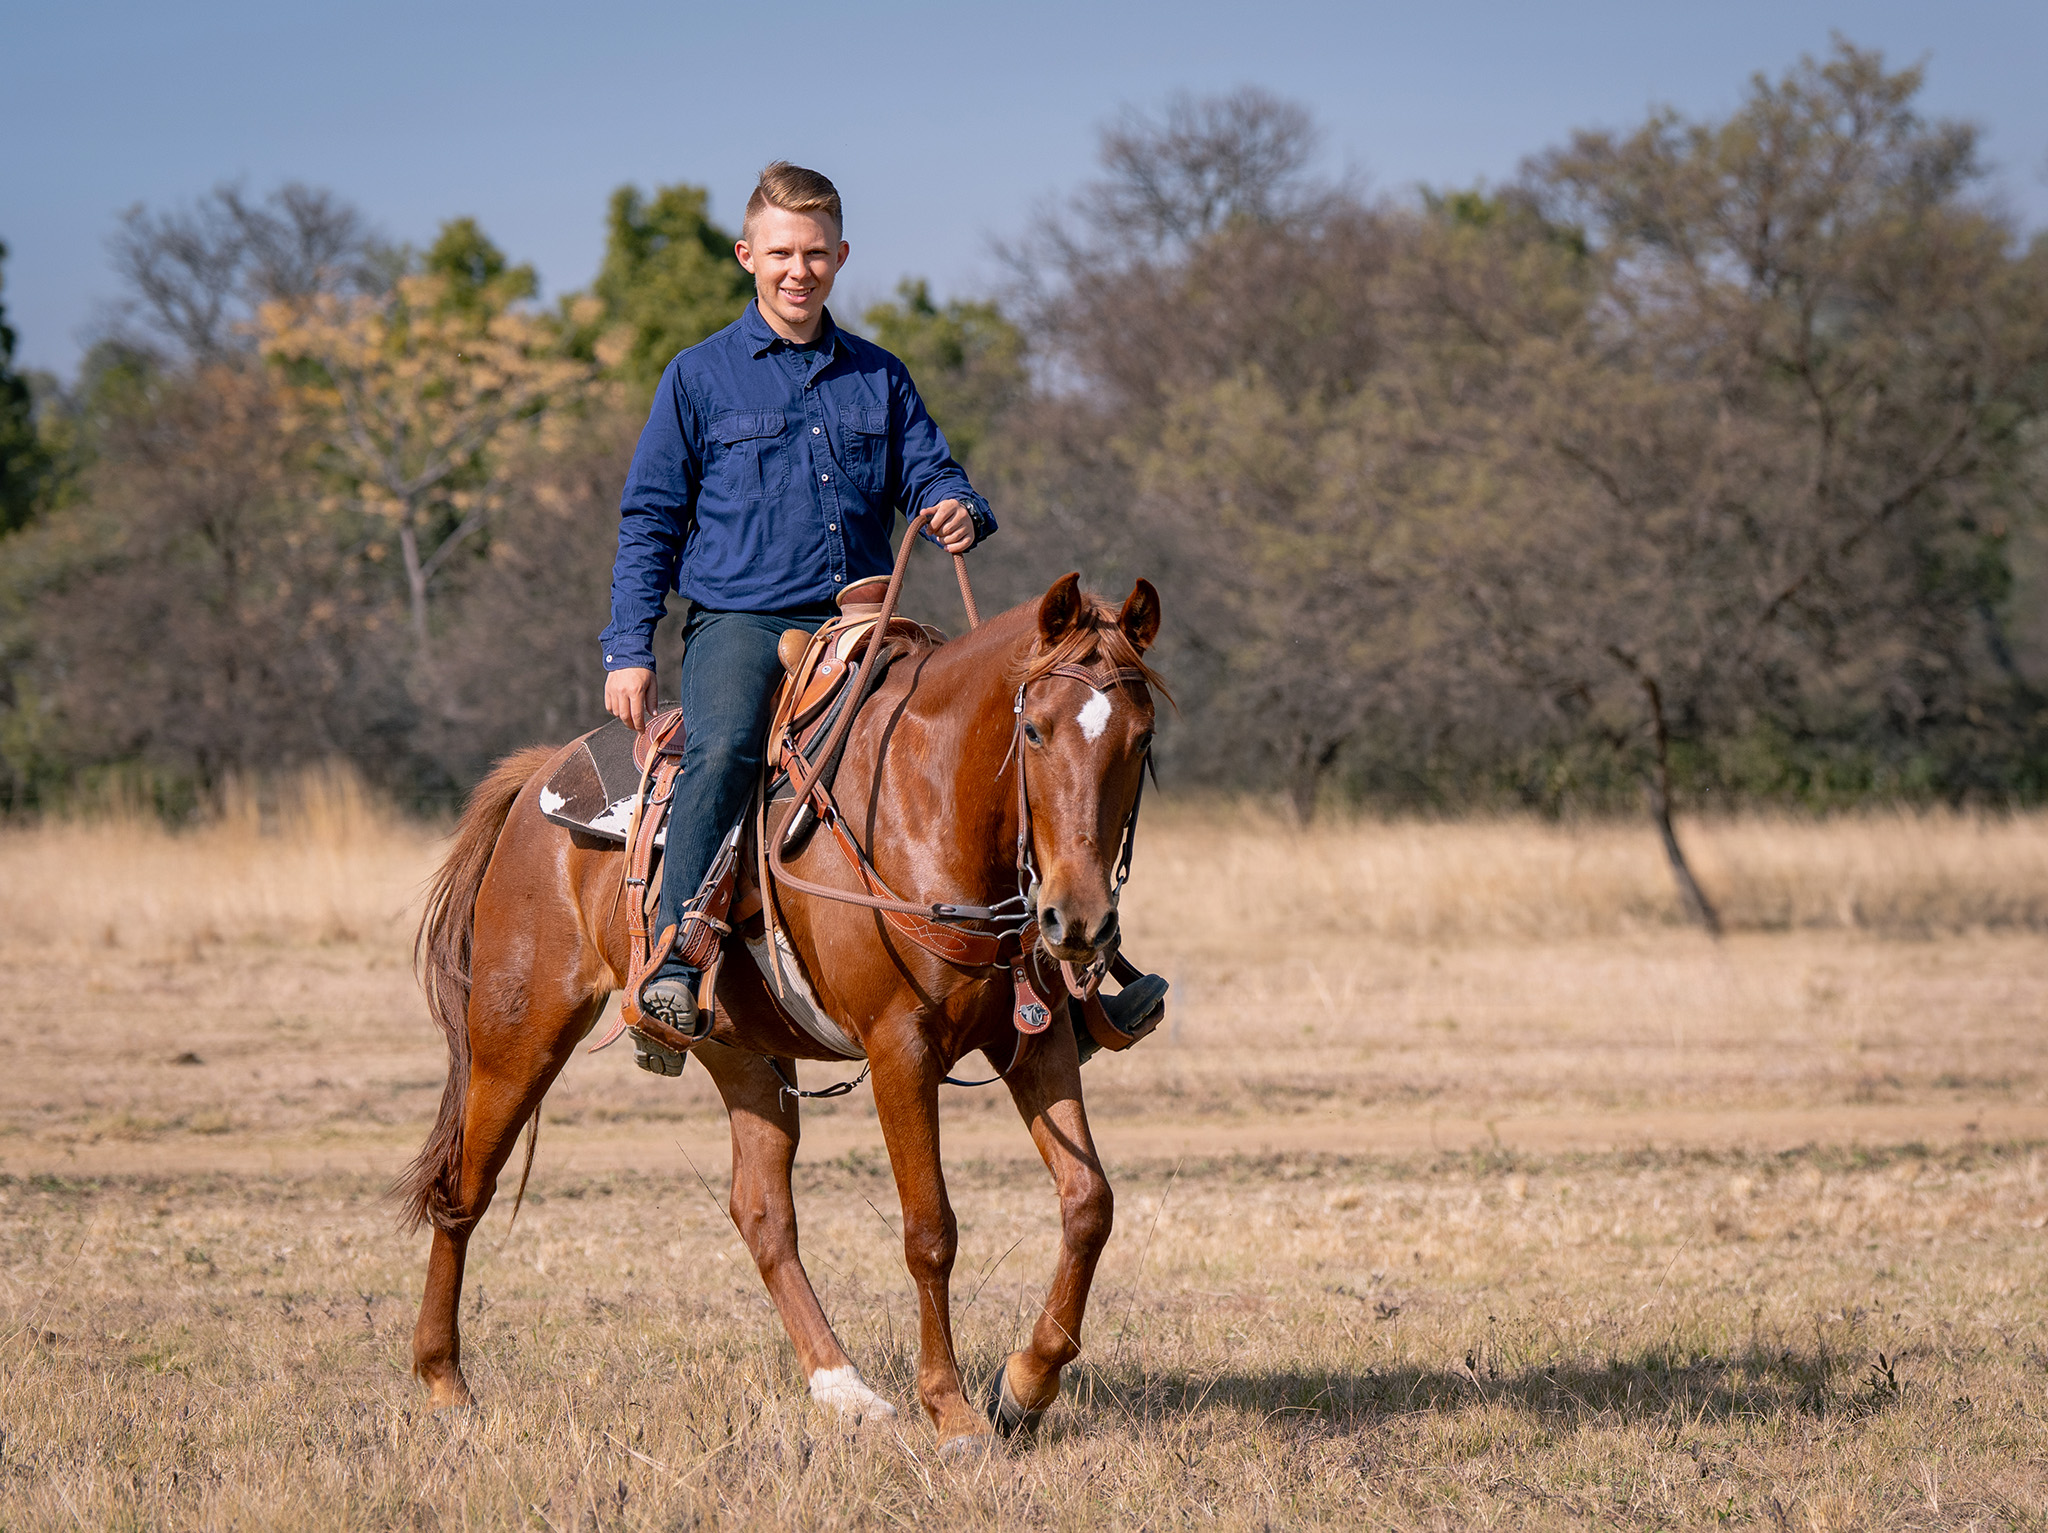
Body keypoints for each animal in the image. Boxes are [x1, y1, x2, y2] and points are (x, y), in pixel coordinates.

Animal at [394, 568, 1163, 1452]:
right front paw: (953, 1407)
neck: (930, 807)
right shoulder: (901, 1049)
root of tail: (535, 782)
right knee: (465, 1185)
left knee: (761, 1212)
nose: (1078, 921)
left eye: (1140, 740)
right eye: (1033, 730)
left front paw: (1024, 1384)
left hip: (743, 1054)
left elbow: (1089, 1203)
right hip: (520, 1033)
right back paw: (444, 1380)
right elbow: (929, 1230)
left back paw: (845, 1387)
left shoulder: (1034, 1042)